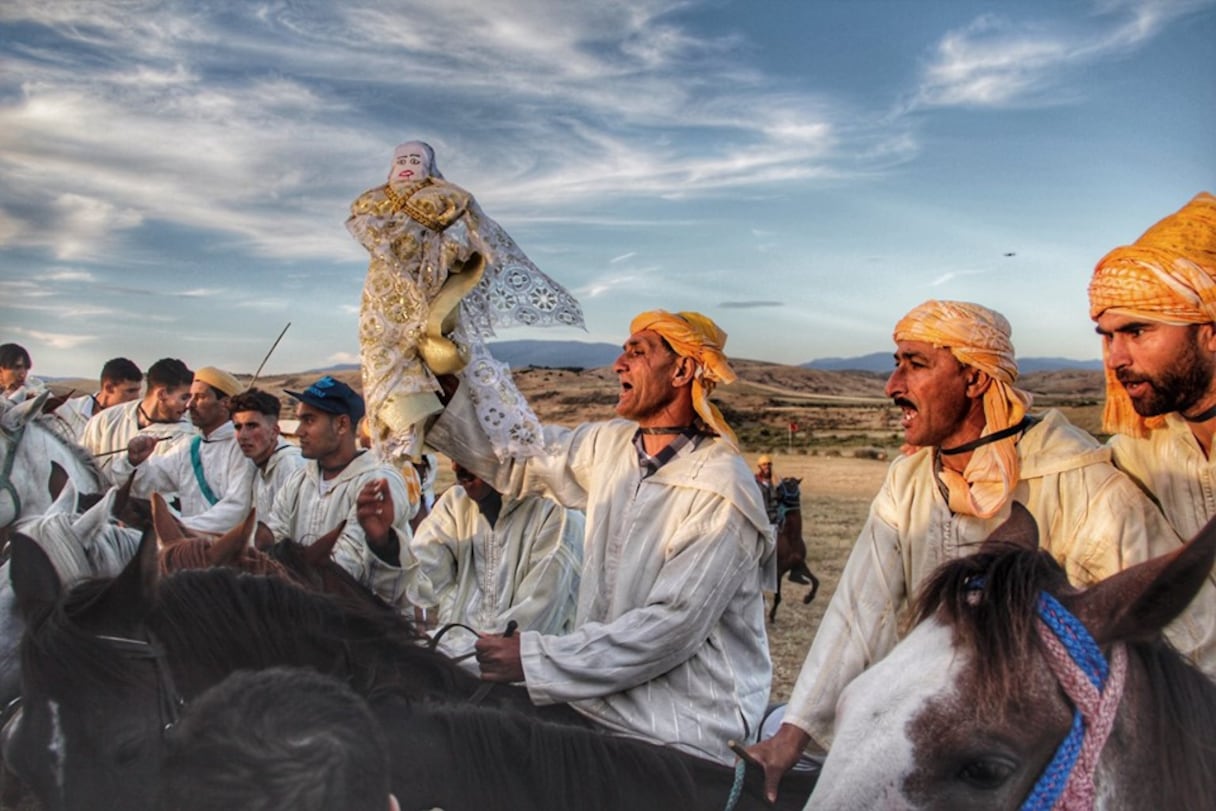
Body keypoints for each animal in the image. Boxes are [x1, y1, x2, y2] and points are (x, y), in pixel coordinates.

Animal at [763, 479, 822, 627]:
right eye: (781, 483)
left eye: (792, 484)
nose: (776, 491)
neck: (791, 537)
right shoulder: (777, 571)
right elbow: (778, 596)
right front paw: (771, 616)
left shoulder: (799, 565)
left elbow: (816, 581)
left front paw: (808, 598)